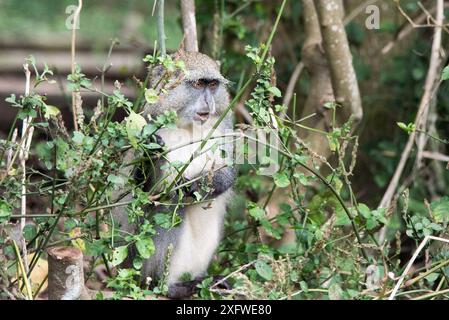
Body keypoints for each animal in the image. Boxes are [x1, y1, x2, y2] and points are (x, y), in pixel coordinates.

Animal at [112, 51, 234, 298]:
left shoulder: (224, 121)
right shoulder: (148, 123)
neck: (187, 125)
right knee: (169, 207)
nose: (209, 102)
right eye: (198, 84)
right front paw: (151, 154)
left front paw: (198, 185)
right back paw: (168, 287)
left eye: (213, 85)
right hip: (136, 265)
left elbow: (228, 173)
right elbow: (142, 194)